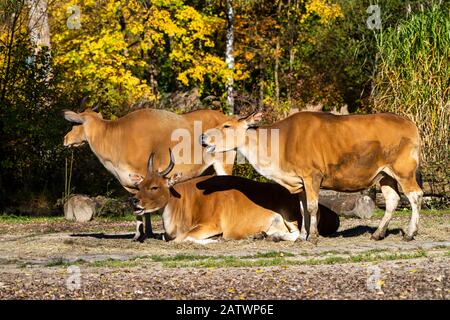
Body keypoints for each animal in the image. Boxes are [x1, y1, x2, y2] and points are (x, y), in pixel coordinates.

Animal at [65, 107, 239, 240]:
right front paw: (147, 233)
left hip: (223, 164)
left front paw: (138, 235)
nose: (65, 139)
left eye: (75, 124)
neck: (117, 137)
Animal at [128, 150, 340, 242]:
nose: (134, 201)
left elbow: (182, 238)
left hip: (290, 214)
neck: (183, 202)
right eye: (139, 185)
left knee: (296, 234)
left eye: (154, 186)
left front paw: (214, 240)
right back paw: (262, 234)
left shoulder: (212, 225)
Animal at [202, 112, 424, 242]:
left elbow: (312, 207)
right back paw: (378, 234)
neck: (281, 142)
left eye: (227, 126)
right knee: (393, 199)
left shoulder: (312, 177)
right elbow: (302, 210)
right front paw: (302, 236)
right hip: (384, 174)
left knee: (415, 195)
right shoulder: (300, 182)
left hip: (404, 170)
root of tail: (410, 123)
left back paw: (410, 233)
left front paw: (314, 236)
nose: (202, 136)